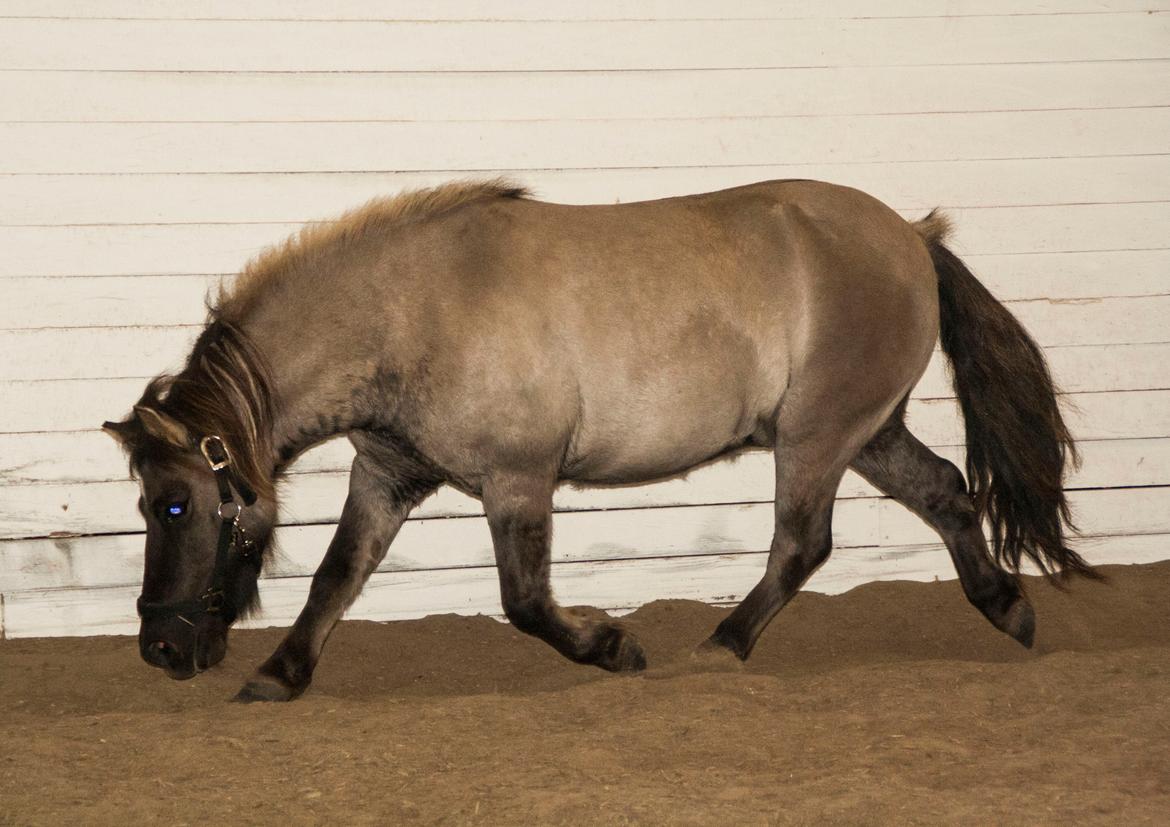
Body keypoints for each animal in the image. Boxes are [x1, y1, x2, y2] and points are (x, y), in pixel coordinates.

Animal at [102, 178, 1095, 702]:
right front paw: (279, 674)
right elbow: (336, 577)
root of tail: (911, 237)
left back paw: (722, 643)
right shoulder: (388, 472)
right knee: (946, 493)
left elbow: (526, 601)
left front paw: (614, 646)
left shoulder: (518, 479)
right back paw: (1009, 609)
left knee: (802, 543)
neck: (416, 305)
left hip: (818, 437)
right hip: (868, 431)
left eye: (173, 502)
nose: (159, 650)